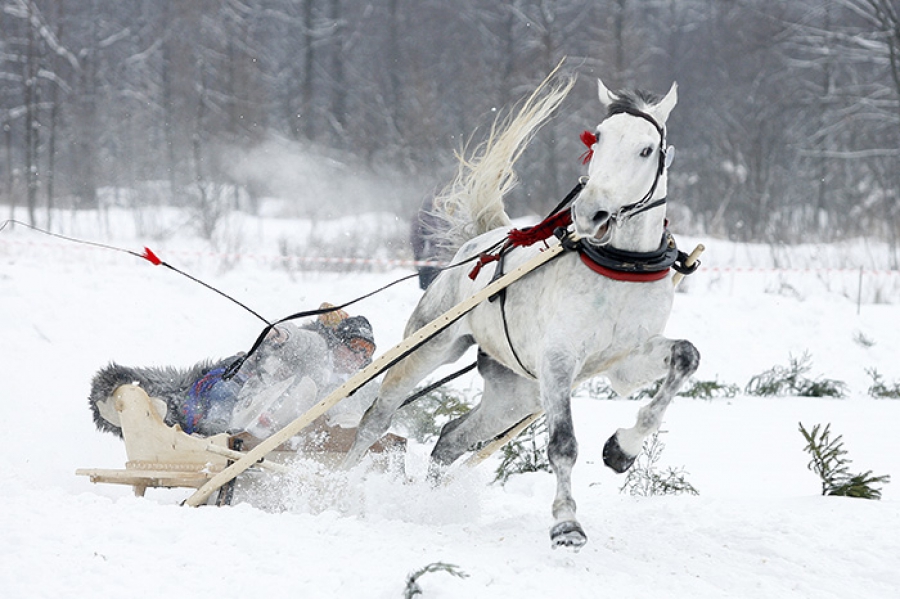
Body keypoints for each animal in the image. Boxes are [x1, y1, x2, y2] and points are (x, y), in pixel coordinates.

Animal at [342, 74, 700, 548]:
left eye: (645, 149)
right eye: (598, 139)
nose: (590, 212)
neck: (621, 267)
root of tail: (483, 241)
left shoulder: (625, 364)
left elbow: (685, 357)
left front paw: (621, 450)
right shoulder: (557, 362)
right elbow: (563, 443)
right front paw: (566, 522)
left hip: (514, 396)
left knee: (451, 438)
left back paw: (430, 505)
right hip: (429, 348)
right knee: (375, 419)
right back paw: (335, 486)